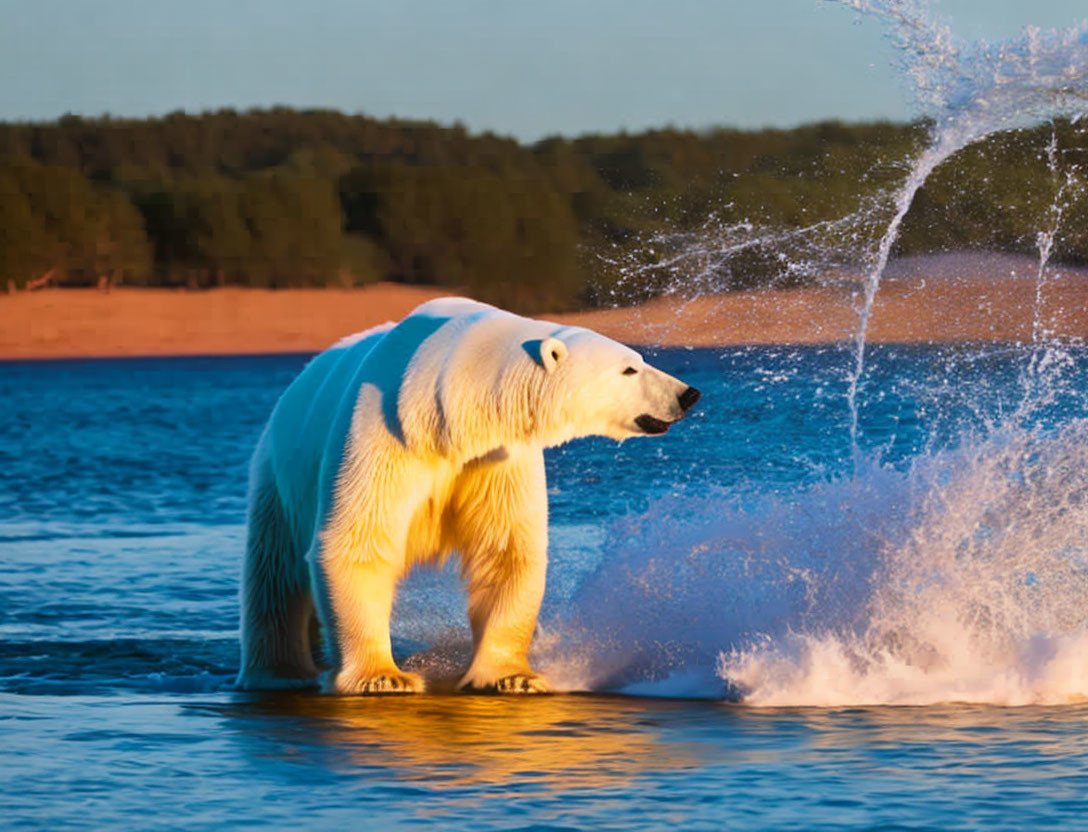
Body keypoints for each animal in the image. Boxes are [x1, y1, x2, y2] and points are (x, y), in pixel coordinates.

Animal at [233, 295, 700, 691]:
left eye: (640, 360)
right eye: (629, 369)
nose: (688, 393)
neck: (449, 413)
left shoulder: (495, 455)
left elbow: (505, 549)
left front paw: (512, 677)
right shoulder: (385, 435)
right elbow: (359, 540)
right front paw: (383, 677)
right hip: (278, 474)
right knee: (274, 575)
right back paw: (277, 672)